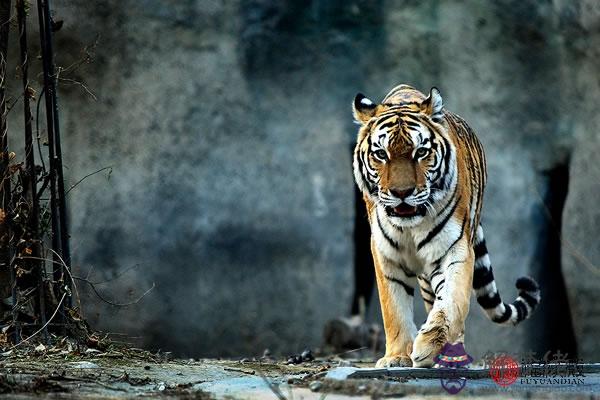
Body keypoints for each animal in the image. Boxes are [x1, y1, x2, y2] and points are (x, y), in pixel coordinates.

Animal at [354, 84, 540, 368]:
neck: (410, 226)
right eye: (381, 154)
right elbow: (394, 309)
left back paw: (452, 355)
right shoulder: (386, 256)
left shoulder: (455, 250)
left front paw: (429, 344)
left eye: (420, 152)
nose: (402, 193)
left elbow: (452, 301)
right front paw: (396, 357)